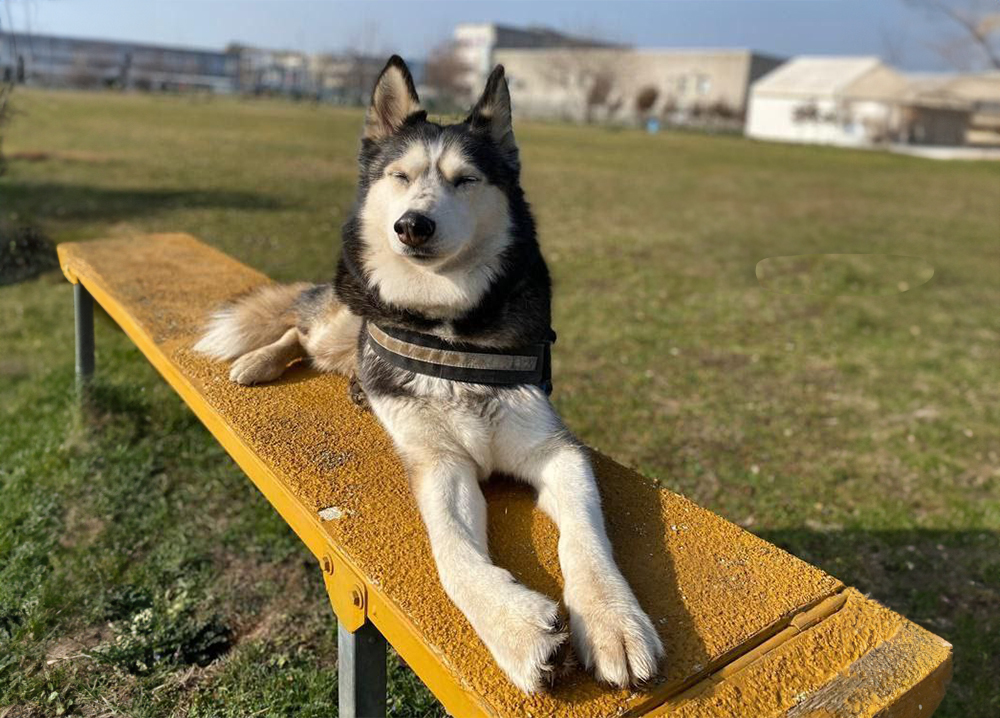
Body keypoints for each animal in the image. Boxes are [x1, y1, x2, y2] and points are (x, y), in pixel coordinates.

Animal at [195, 57, 664, 696]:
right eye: (401, 176)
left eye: (465, 180)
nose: (412, 225)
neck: (448, 330)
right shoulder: (439, 463)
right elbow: (452, 554)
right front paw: (519, 630)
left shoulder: (556, 449)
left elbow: (587, 539)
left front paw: (612, 619)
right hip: (348, 316)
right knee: (301, 329)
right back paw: (259, 361)